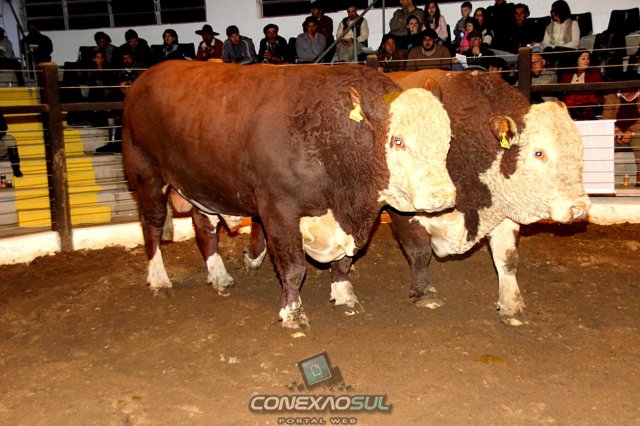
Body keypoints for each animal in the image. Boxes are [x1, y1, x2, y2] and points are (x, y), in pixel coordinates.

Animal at [122, 61, 456, 328]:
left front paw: (344, 294)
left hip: (201, 185)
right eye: (398, 141)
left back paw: (218, 276)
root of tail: (145, 78)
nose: (443, 194)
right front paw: (292, 313)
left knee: (205, 228)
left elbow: (353, 260)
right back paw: (159, 278)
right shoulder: (279, 209)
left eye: (447, 138)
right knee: (152, 226)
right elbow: (294, 267)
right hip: (147, 174)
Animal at [244, 69, 591, 326]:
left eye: (579, 150)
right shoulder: (404, 210)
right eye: (539, 152)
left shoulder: (501, 208)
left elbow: (507, 258)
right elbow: (420, 251)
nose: (580, 207)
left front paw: (511, 304)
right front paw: (425, 293)